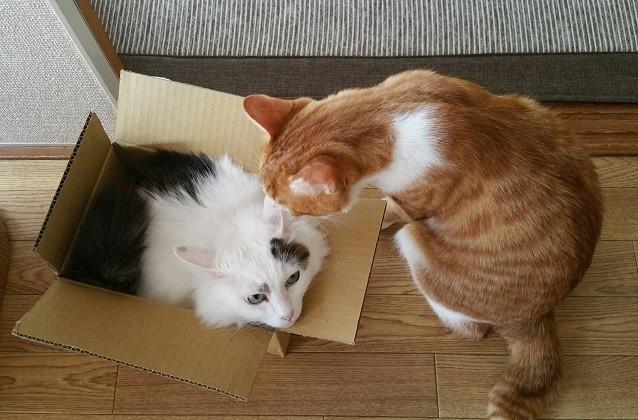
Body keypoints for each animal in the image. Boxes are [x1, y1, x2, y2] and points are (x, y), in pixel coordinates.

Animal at [242, 70, 603, 419]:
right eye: (267, 192)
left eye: (288, 205)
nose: (269, 213)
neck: (389, 113)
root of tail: (538, 317)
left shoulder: (411, 205)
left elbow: (390, 209)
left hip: (416, 244)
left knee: (471, 328)